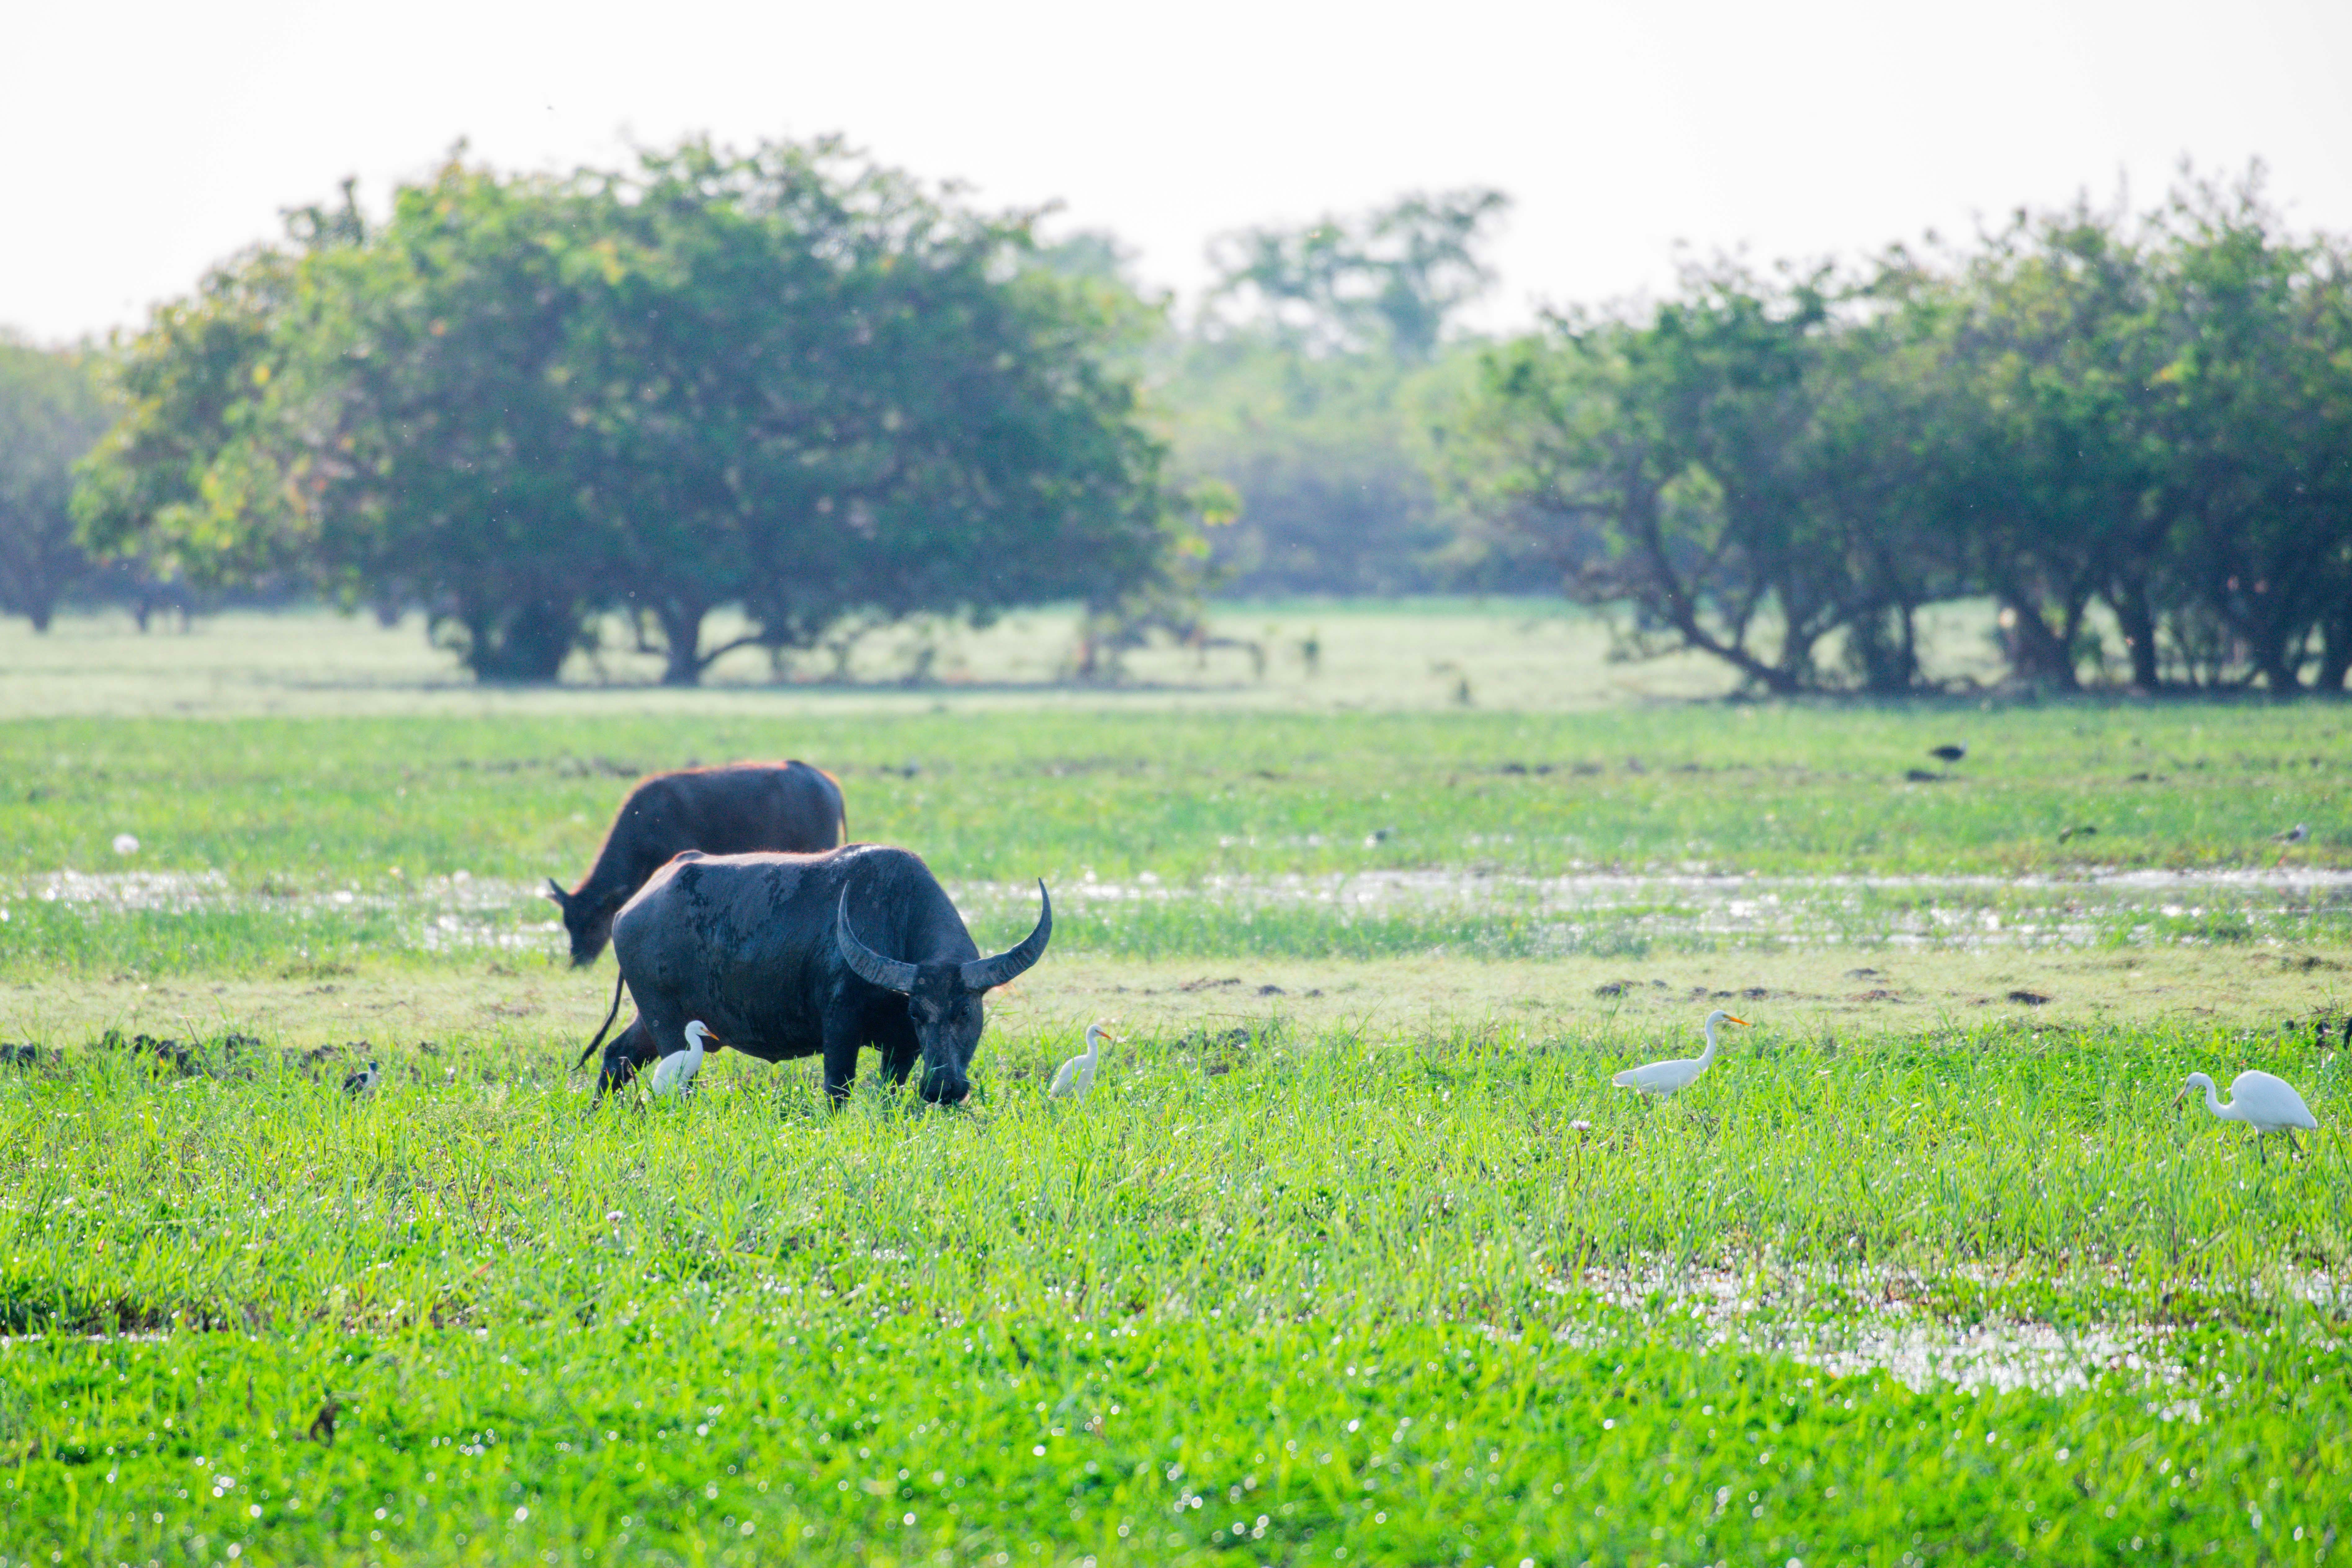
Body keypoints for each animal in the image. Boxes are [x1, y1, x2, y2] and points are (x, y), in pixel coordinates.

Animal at [577, 844, 1049, 1105]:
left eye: (966, 1011)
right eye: (919, 1012)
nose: (942, 1087)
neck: (895, 917)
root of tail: (630, 909)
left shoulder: (902, 1047)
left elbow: (889, 1093)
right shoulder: (840, 1026)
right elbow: (838, 1089)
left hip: (653, 1019)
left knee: (617, 1056)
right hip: (667, 1023)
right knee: (675, 1080)